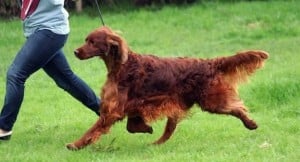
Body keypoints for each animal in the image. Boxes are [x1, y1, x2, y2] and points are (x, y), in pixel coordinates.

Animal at [67, 26, 268, 150]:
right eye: (86, 40)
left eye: (93, 42)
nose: (76, 52)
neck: (122, 65)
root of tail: (209, 63)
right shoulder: (134, 105)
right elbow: (131, 125)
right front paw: (145, 128)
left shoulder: (114, 109)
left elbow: (94, 129)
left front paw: (76, 145)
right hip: (180, 103)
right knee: (169, 130)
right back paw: (156, 144)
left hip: (211, 100)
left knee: (238, 107)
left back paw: (250, 123)